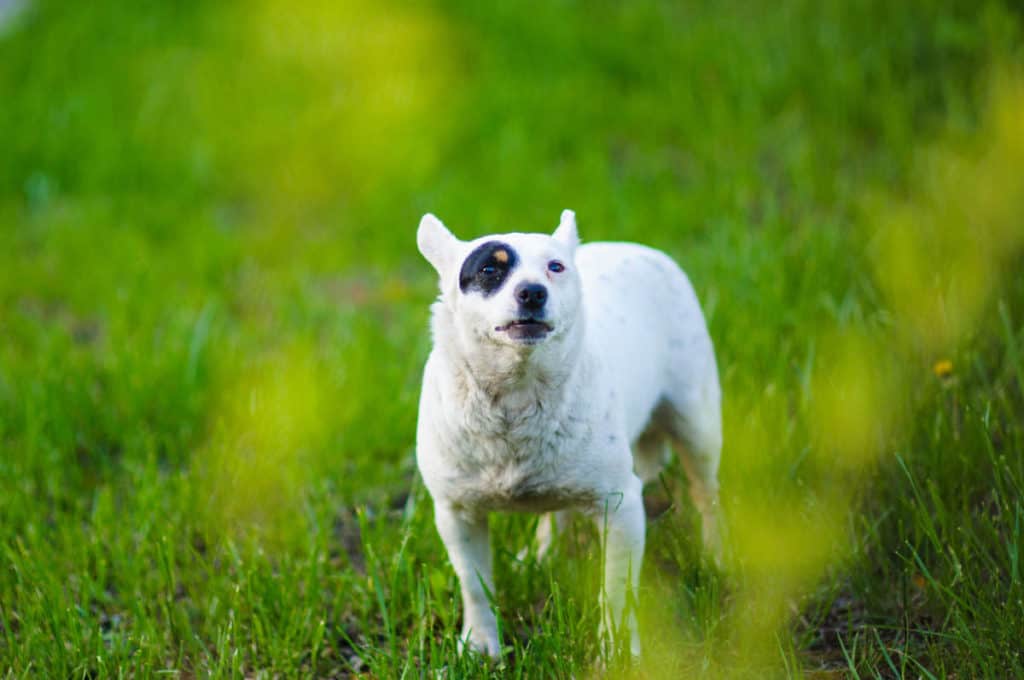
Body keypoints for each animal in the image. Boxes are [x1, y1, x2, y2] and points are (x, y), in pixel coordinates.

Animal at [413, 208, 720, 659]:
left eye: (555, 267)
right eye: (488, 269)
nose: (533, 292)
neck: (518, 394)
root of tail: (635, 248)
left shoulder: (620, 507)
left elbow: (616, 589)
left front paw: (617, 650)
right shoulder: (456, 513)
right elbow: (474, 584)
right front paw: (482, 644)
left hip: (697, 424)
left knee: (705, 493)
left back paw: (719, 553)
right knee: (555, 511)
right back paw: (539, 555)